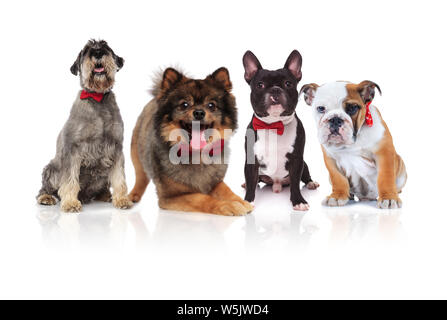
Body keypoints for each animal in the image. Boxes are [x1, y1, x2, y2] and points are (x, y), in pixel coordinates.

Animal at [36, 39, 133, 212]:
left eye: (106, 47)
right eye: (87, 50)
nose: (98, 53)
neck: (98, 98)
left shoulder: (115, 147)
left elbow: (119, 177)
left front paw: (122, 199)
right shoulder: (73, 148)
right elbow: (69, 179)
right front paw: (70, 202)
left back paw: (105, 195)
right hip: (51, 168)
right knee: (46, 187)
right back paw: (46, 197)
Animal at [128, 67, 254, 215]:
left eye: (211, 105)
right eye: (184, 104)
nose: (199, 112)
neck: (196, 154)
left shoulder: (214, 182)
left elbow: (226, 191)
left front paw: (240, 201)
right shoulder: (171, 196)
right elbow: (203, 198)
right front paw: (228, 205)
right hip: (136, 155)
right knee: (140, 177)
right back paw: (133, 195)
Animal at [300, 81, 406, 209]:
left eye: (352, 108)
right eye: (321, 108)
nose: (335, 119)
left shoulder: (384, 153)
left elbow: (385, 177)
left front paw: (389, 198)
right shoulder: (330, 159)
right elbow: (338, 178)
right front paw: (337, 196)